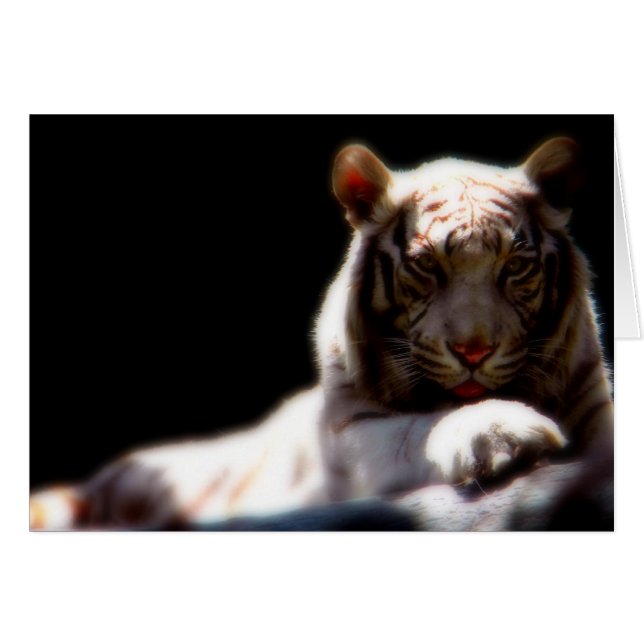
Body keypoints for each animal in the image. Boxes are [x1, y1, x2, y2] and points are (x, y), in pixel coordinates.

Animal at [30, 137, 614, 530]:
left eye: (515, 267)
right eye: (426, 265)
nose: (474, 351)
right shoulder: (350, 438)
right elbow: (414, 430)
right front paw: (500, 431)